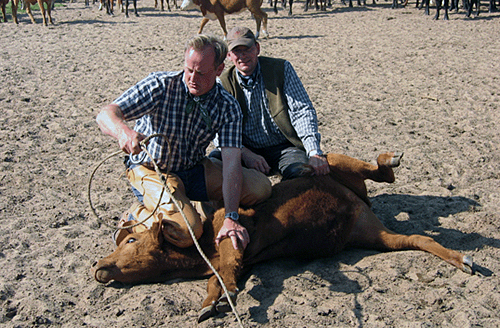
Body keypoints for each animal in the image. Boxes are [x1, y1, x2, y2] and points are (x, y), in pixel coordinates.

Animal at [93, 152, 472, 322]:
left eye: (131, 241)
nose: (99, 265)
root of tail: (356, 204)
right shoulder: (236, 261)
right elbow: (219, 278)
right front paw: (209, 305)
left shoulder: (234, 235)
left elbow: (227, 267)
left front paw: (224, 295)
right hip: (373, 234)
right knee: (420, 240)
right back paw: (463, 259)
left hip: (335, 165)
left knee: (376, 172)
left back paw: (388, 159)